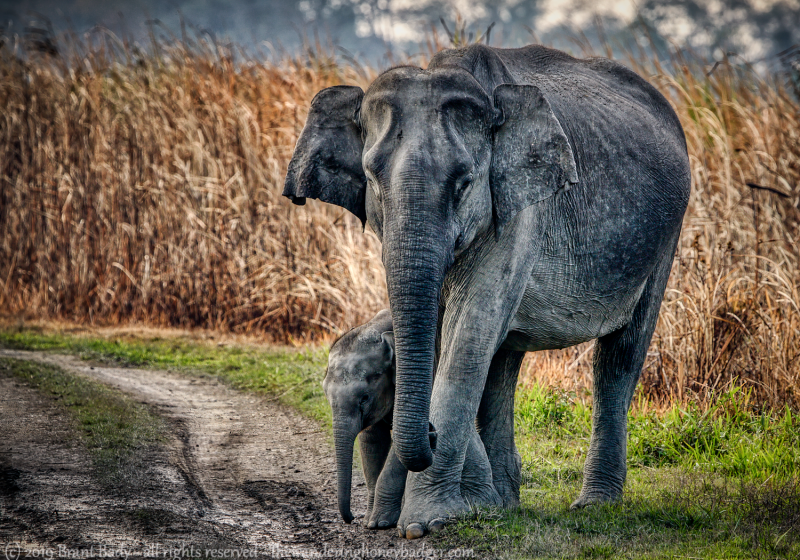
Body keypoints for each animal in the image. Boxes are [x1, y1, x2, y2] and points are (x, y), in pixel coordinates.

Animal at [322, 310, 496, 528]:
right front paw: (370, 522)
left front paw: (380, 522)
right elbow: (372, 442)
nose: (352, 518)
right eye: (326, 395)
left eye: (364, 398)